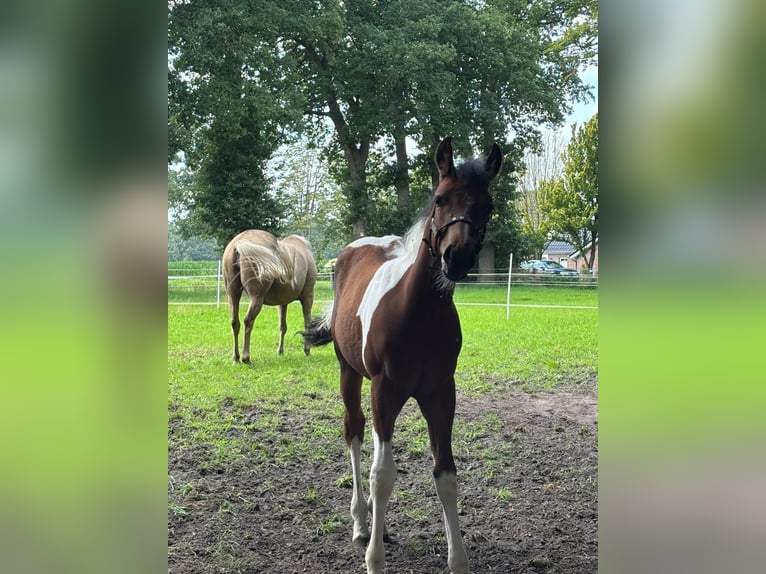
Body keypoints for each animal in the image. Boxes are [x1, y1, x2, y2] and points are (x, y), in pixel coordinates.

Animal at [222, 230, 317, 363]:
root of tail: (238, 243)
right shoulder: (308, 297)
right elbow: (307, 322)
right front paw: (307, 350)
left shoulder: (282, 302)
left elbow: (283, 326)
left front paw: (280, 351)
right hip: (256, 298)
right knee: (248, 321)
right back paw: (246, 357)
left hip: (233, 295)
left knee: (235, 322)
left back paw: (236, 358)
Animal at [302, 138, 502, 574]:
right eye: (440, 198)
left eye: (488, 205)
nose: (457, 258)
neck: (417, 314)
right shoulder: (385, 390)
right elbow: (382, 475)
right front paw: (374, 558)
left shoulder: (441, 394)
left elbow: (446, 474)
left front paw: (457, 558)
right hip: (349, 374)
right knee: (355, 432)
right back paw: (362, 524)